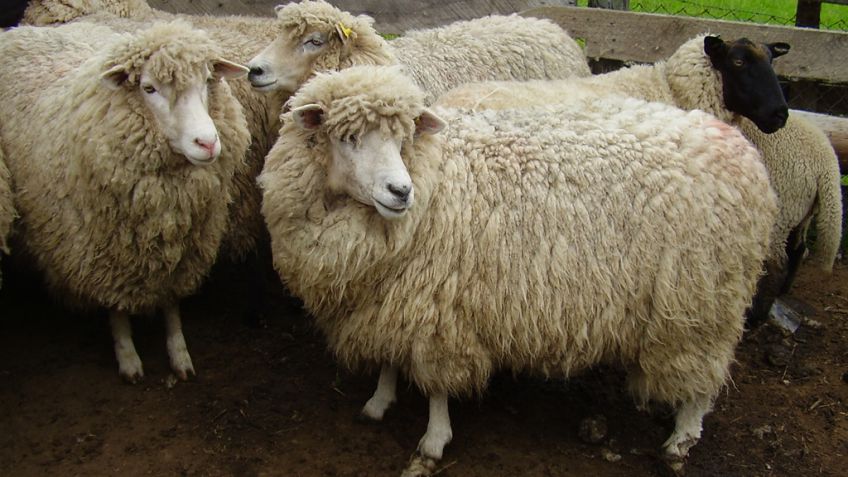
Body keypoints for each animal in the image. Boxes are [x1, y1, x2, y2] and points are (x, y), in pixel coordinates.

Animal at [0, 20, 252, 382]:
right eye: (148, 88)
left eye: (207, 80)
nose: (207, 142)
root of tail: (22, 29)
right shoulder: (106, 252)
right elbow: (116, 307)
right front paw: (128, 357)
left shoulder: (180, 246)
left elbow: (171, 304)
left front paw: (179, 353)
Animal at [258, 65, 777, 475]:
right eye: (347, 139)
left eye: (404, 140)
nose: (400, 191)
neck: (437, 178)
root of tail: (741, 149)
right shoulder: (388, 301)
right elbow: (388, 358)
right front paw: (379, 402)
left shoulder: (440, 312)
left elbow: (438, 388)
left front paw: (433, 442)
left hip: (702, 298)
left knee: (703, 379)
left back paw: (681, 439)